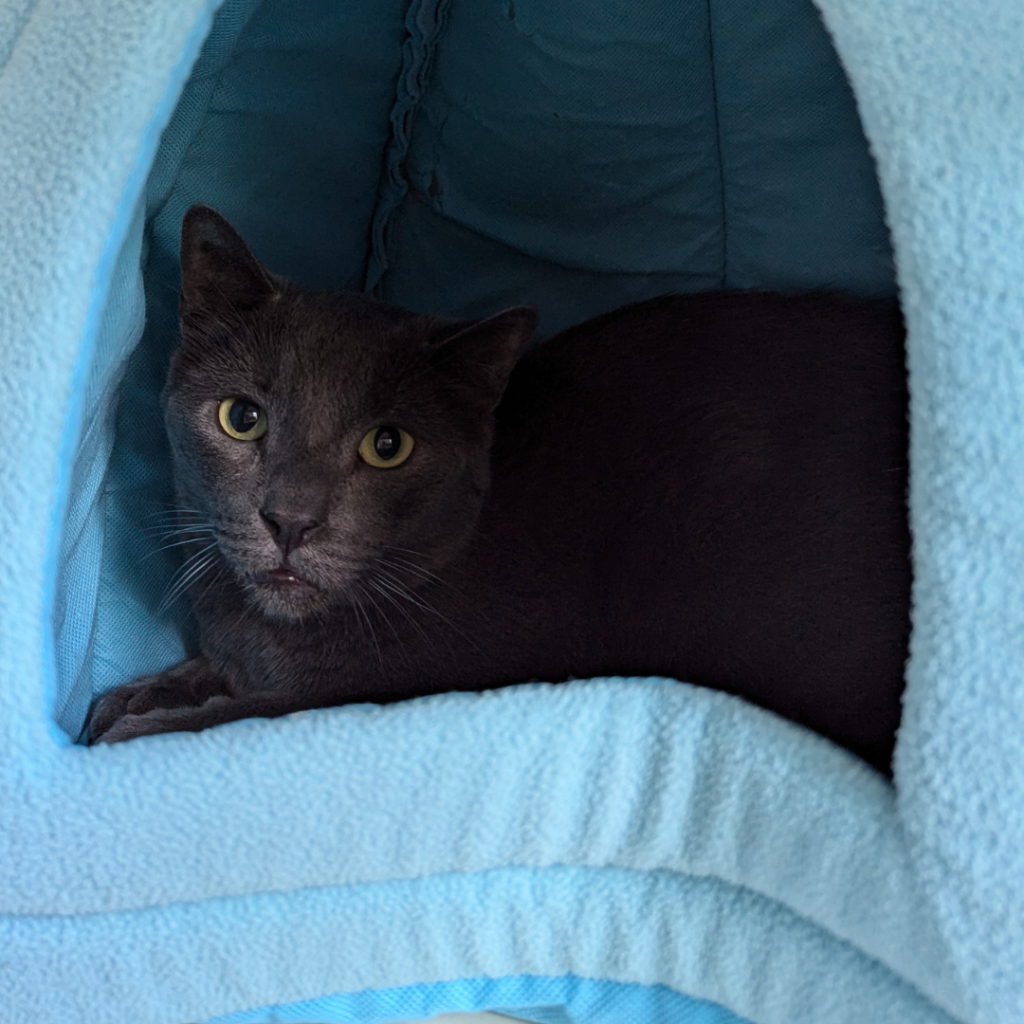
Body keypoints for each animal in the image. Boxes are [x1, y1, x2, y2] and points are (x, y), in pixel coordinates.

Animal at [83, 203, 909, 770]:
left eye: (388, 446)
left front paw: (139, 725)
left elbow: (257, 712)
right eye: (241, 417)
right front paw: (135, 695)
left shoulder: (386, 689)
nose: (290, 520)